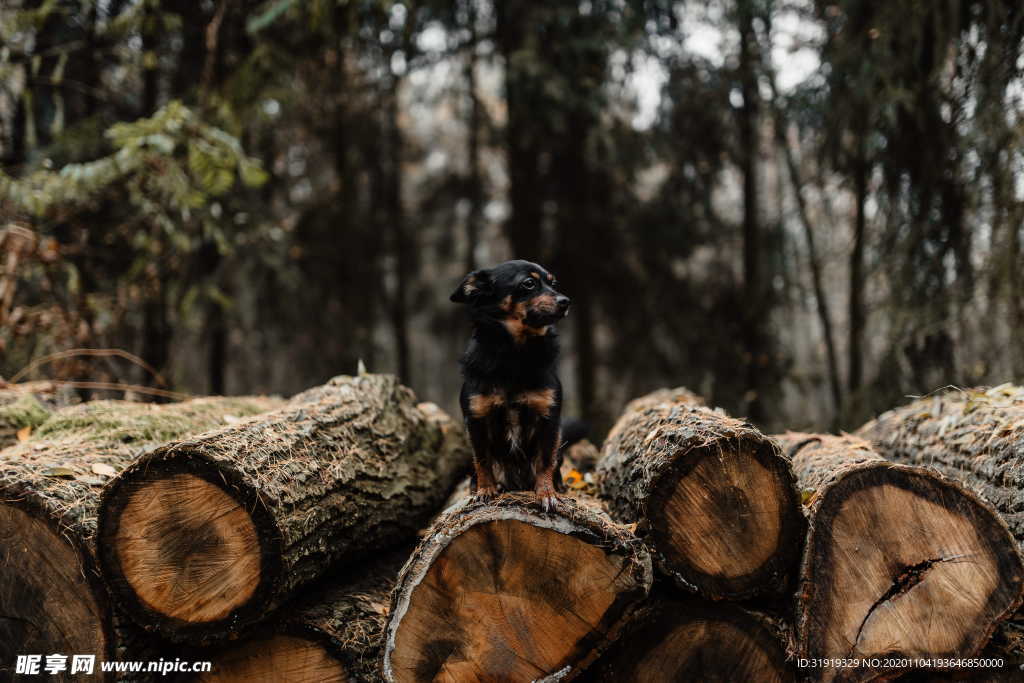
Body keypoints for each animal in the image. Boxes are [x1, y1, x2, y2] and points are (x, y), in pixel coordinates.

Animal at [452, 259, 573, 509]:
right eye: (528, 283)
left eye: (553, 283)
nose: (565, 301)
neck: (515, 354)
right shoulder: (476, 420)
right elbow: (483, 460)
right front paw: (485, 490)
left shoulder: (549, 419)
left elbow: (545, 460)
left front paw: (547, 493)